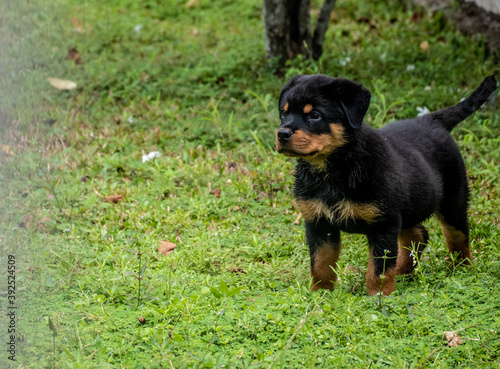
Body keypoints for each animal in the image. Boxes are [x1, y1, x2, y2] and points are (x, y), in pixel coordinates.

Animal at [276, 73, 498, 294]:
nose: (282, 134)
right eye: (284, 113)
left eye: (315, 115)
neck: (334, 167)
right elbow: (321, 263)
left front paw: (379, 295)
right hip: (408, 205)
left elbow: (379, 268)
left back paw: (461, 269)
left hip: (453, 199)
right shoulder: (319, 223)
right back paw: (403, 272)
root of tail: (432, 120)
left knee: (457, 236)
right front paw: (320, 294)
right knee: (418, 235)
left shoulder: (383, 224)